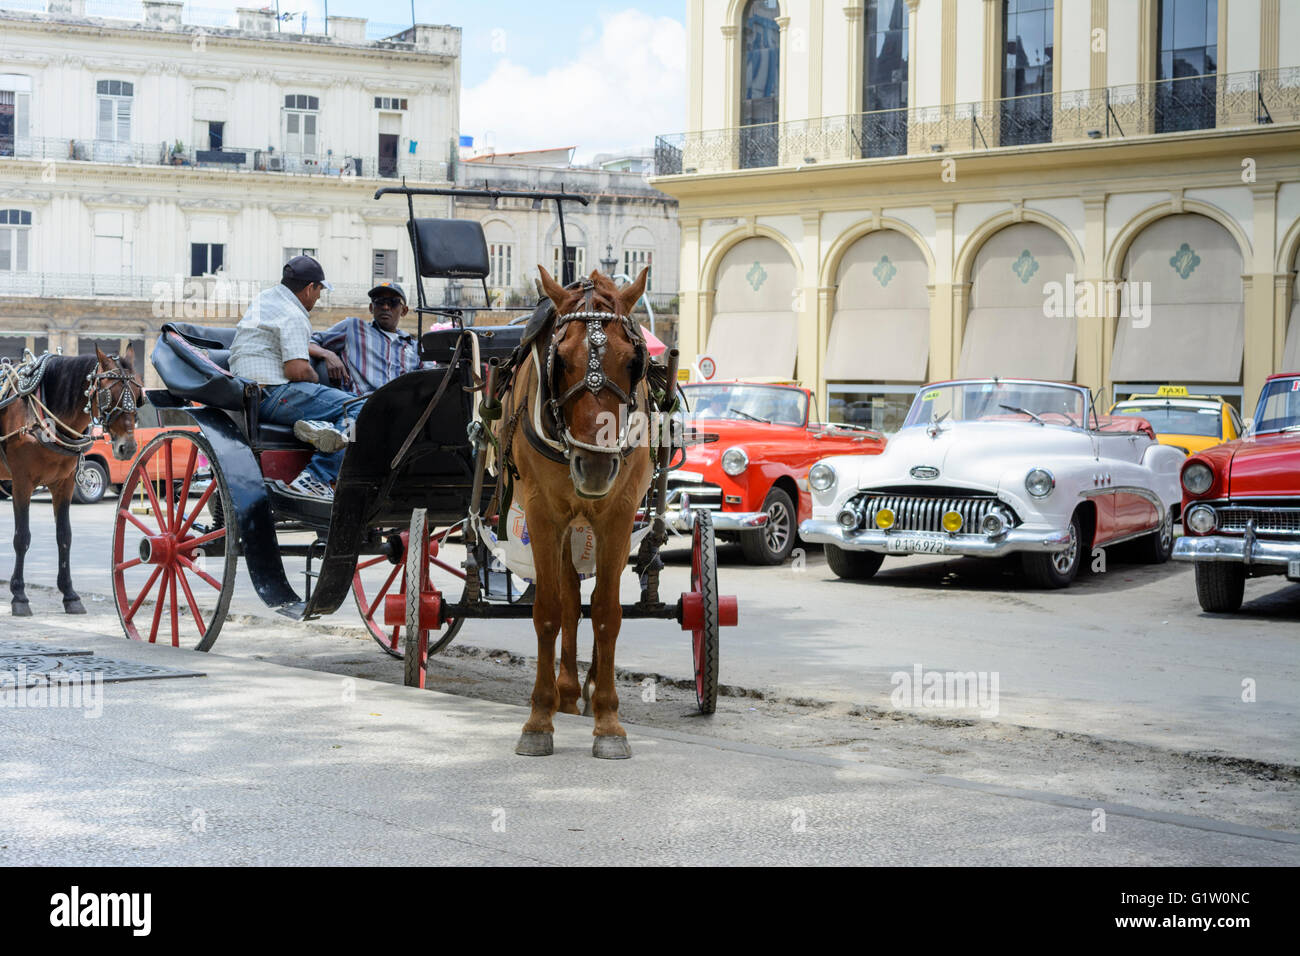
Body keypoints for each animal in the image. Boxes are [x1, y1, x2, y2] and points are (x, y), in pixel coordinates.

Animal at [0, 348, 142, 613]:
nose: (127, 447)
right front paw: (19, 596)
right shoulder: (21, 482)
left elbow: (64, 536)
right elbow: (22, 537)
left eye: (139, 396)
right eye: (108, 394)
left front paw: (70, 595)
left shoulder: (64, 484)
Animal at [496, 265, 650, 759]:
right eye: (560, 361)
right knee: (566, 597)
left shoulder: (618, 515)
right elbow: (549, 609)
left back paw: (589, 685)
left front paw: (609, 721)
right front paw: (538, 718)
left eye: (634, 362)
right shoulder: (543, 514)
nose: (596, 466)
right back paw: (564, 690)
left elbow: (607, 612)